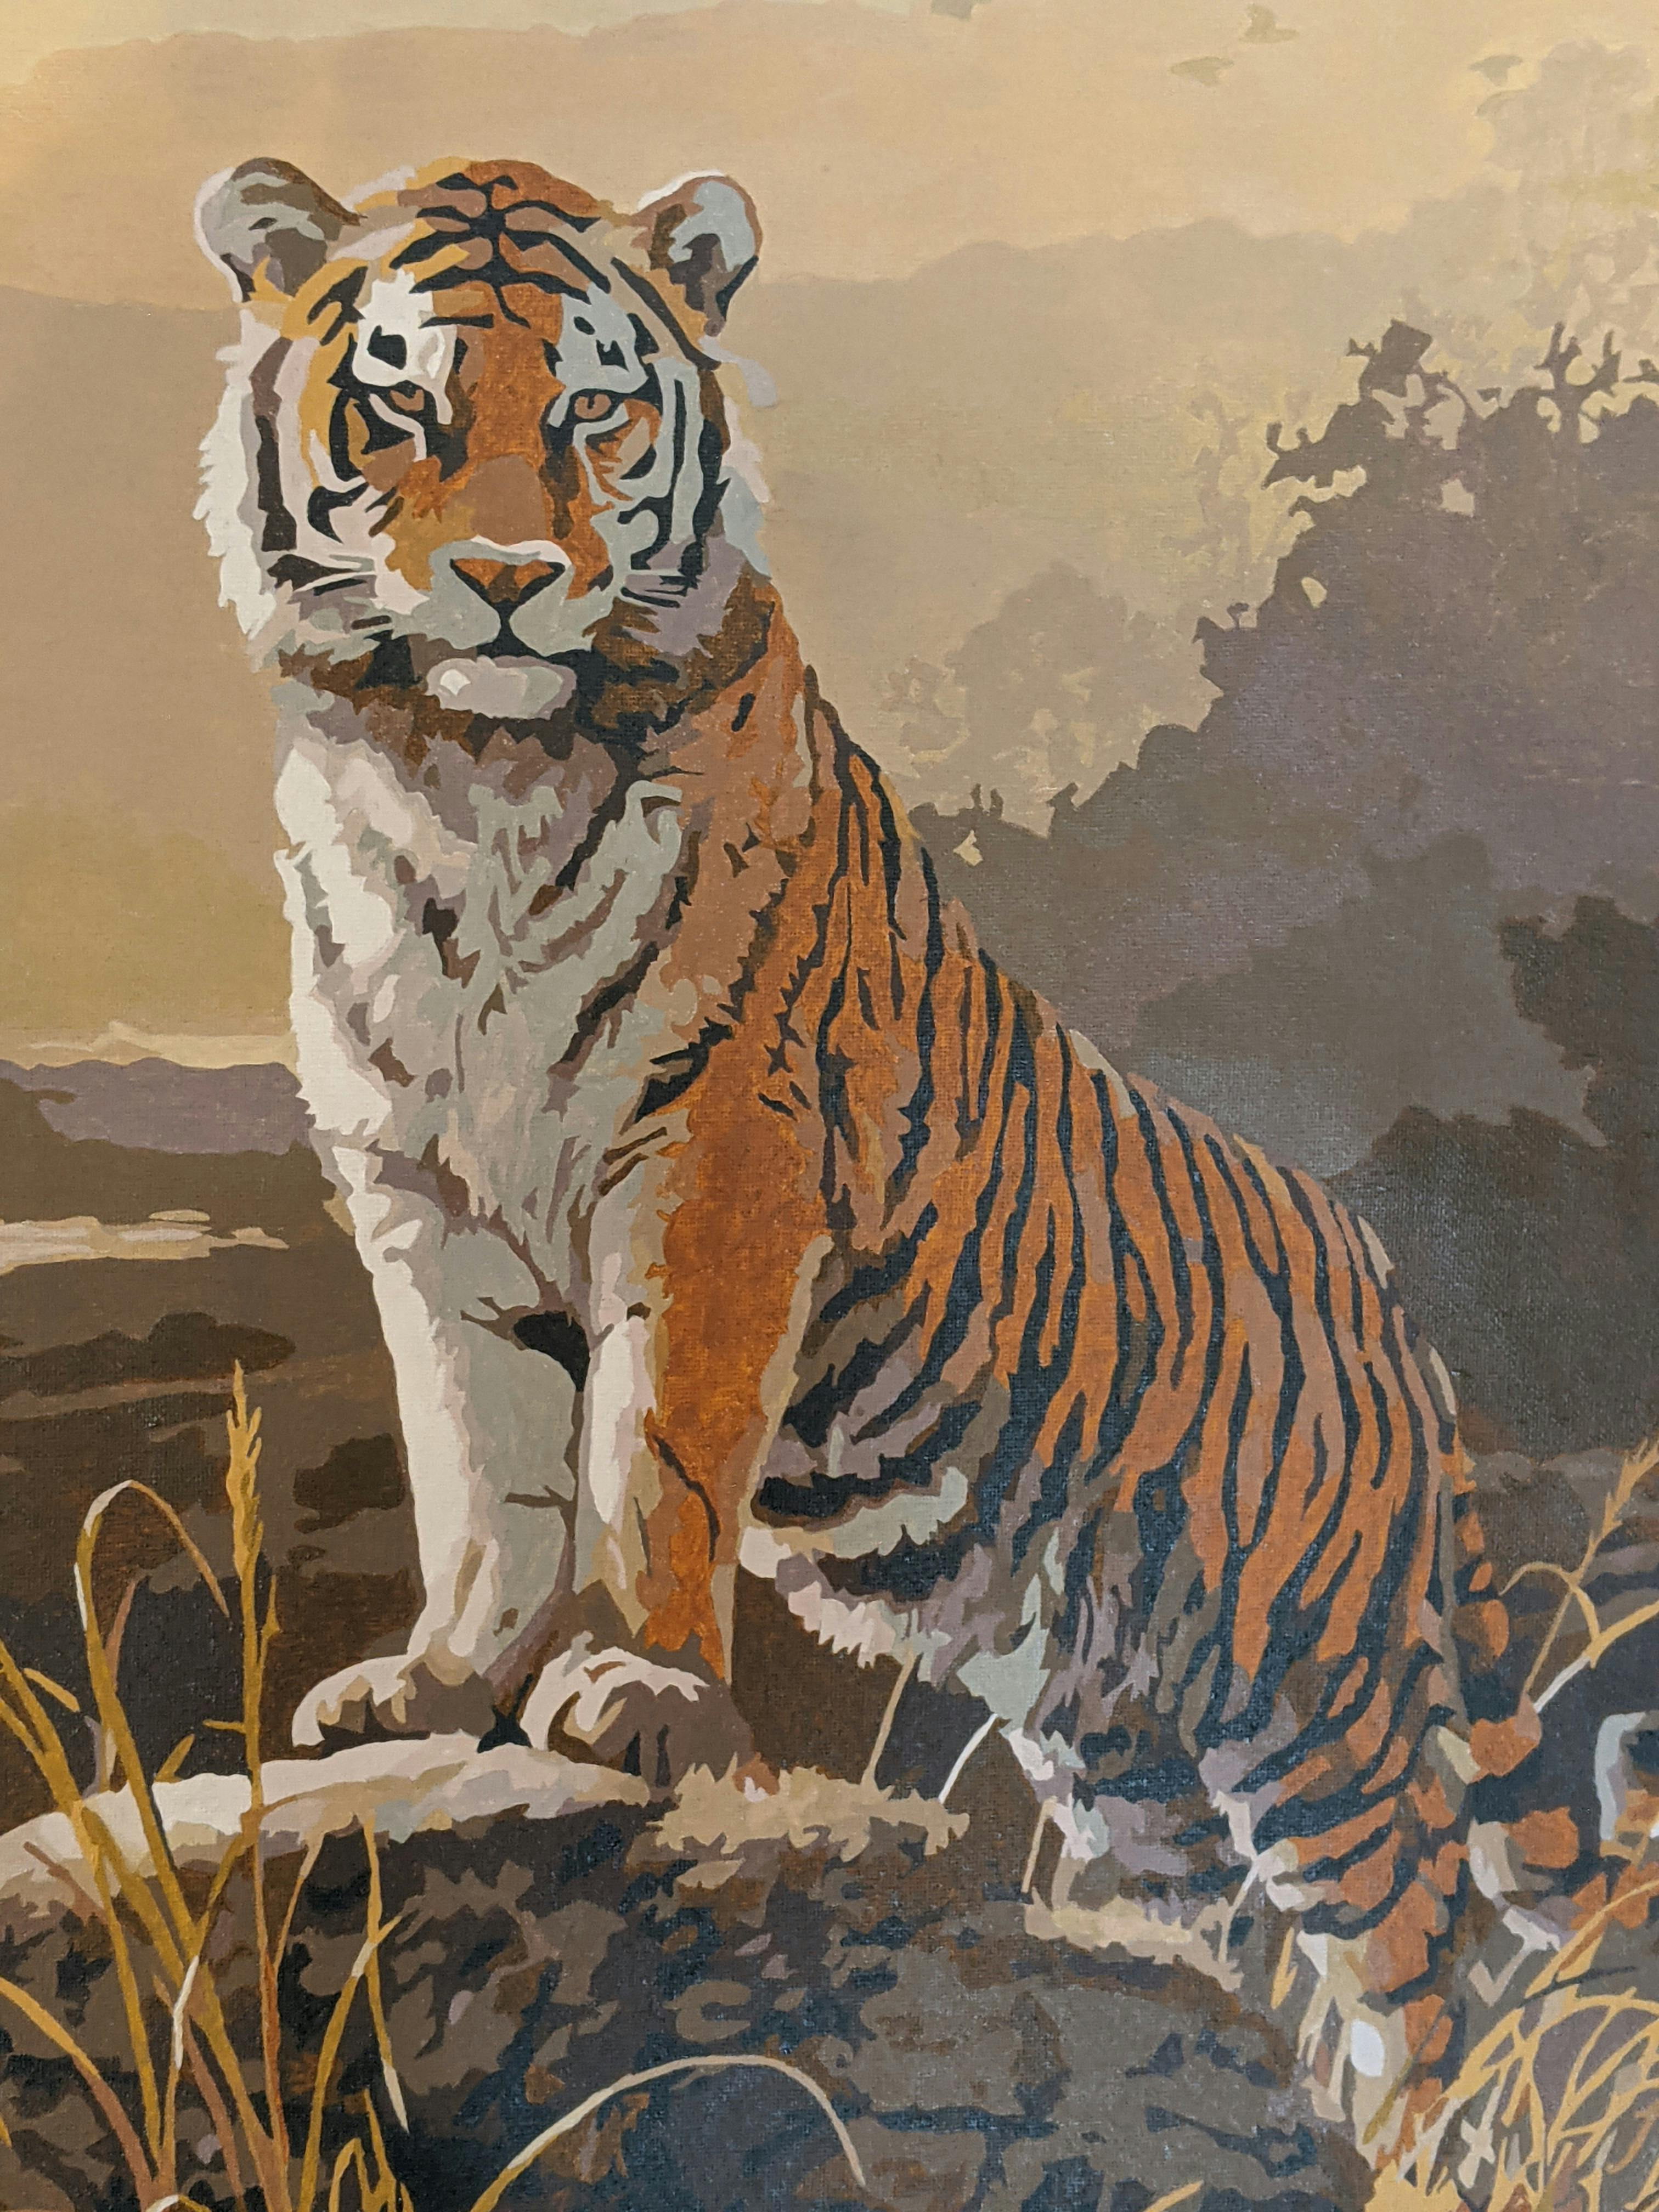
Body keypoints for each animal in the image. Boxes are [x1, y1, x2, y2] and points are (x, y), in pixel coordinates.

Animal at [194, 155, 1534, 2158]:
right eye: (403, 404)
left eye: (589, 413)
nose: (505, 586)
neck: (461, 782)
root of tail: (1384, 1284)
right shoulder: (422, 1198)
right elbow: (475, 1467)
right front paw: (439, 1682)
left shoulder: (713, 1165)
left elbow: (643, 1458)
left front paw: (638, 1693)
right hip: (1120, 1736)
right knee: (1206, 1937)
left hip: (1318, 1710)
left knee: (1420, 1990)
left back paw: (1415, 2157)